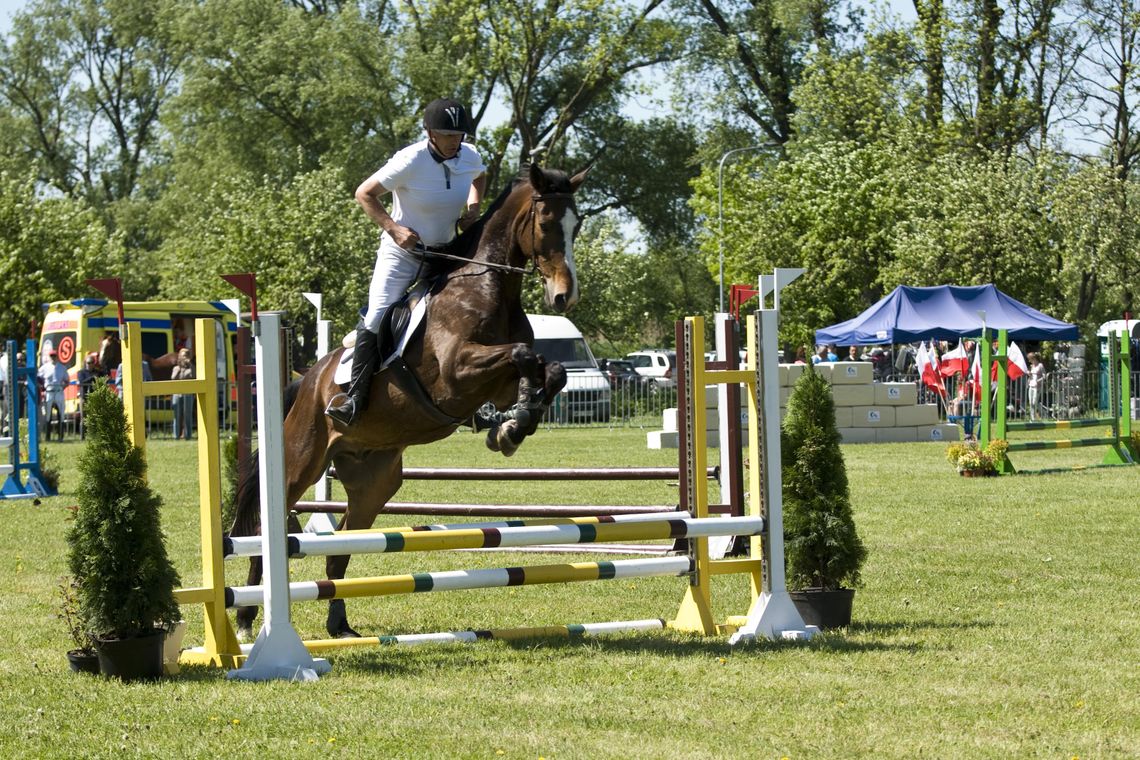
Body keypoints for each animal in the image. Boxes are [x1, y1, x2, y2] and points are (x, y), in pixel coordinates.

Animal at [229, 165, 588, 642]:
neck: (487, 286)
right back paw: (247, 619)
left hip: (374, 482)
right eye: (547, 223)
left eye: (577, 225)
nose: (565, 296)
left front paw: (514, 424)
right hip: (299, 463)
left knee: (343, 543)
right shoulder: (456, 371)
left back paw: (339, 624)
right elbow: (523, 354)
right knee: (263, 532)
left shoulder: (496, 384)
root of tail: (307, 381)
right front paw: (510, 427)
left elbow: (551, 370)